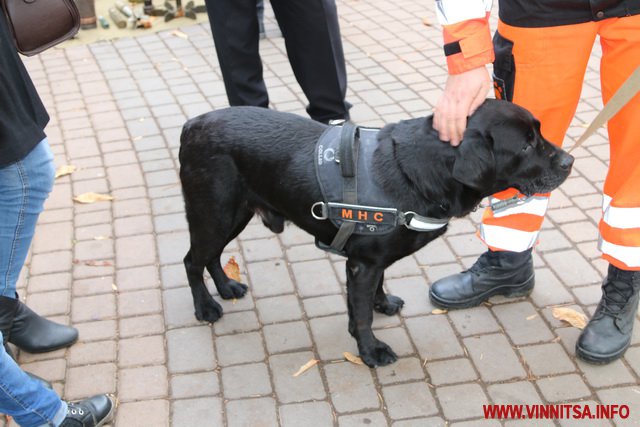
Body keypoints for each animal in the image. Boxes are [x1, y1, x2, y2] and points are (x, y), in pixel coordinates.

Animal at [178, 99, 572, 368]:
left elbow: (375, 290)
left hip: (232, 215)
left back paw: (226, 288)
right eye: (525, 145)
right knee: (192, 261)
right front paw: (370, 351)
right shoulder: (362, 264)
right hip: (214, 213)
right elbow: (361, 315)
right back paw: (205, 307)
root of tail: (191, 123)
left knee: (211, 256)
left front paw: (382, 303)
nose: (569, 161)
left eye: (540, 133)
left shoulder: (372, 261)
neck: (418, 170)